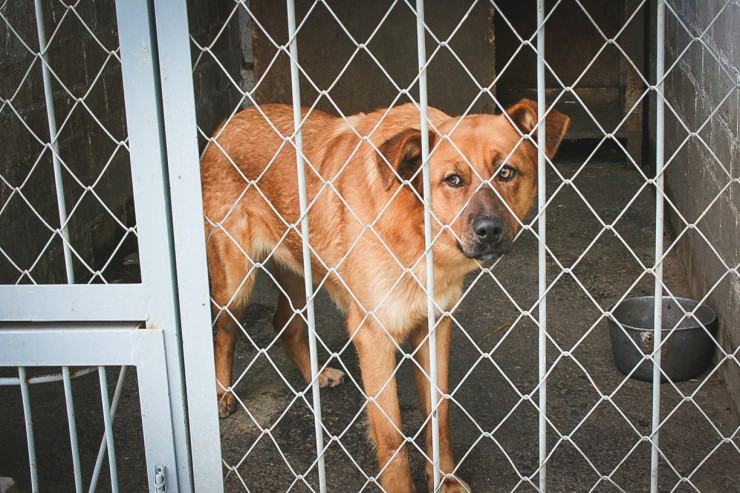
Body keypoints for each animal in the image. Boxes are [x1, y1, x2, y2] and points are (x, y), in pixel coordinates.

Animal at [201, 100, 569, 492]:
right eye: (453, 180)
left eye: (506, 172)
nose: (489, 231)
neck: (419, 232)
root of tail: (229, 121)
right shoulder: (373, 337)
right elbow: (392, 438)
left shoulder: (434, 326)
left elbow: (439, 412)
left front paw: (445, 479)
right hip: (236, 285)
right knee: (224, 332)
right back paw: (222, 394)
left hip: (304, 276)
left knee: (285, 323)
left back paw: (315, 375)